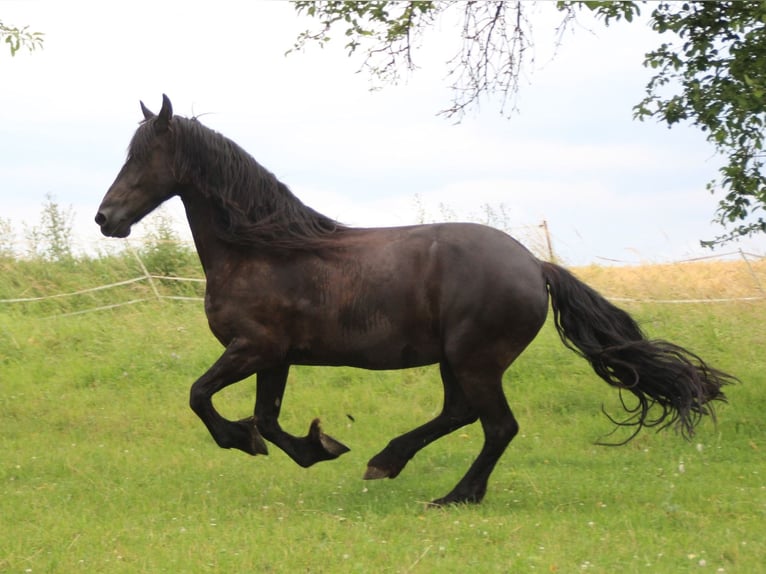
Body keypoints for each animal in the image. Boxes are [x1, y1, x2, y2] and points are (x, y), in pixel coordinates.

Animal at [96, 97, 736, 506]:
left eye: (142, 158)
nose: (106, 218)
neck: (263, 249)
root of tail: (535, 266)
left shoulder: (251, 349)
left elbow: (201, 397)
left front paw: (244, 442)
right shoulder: (273, 357)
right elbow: (268, 418)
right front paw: (316, 447)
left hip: (476, 360)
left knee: (497, 426)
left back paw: (456, 495)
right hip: (455, 360)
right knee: (461, 415)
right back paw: (389, 461)